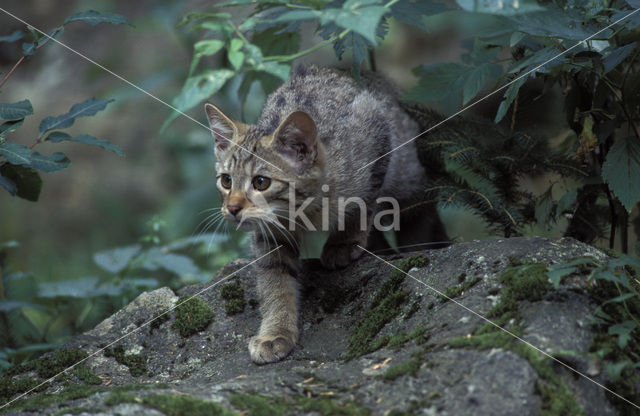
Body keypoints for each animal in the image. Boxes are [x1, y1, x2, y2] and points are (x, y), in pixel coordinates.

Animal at [204, 65, 444, 364]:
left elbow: (362, 204)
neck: (304, 211)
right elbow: (275, 281)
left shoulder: (376, 134)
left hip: (409, 176)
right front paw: (276, 332)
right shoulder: (268, 233)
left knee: (420, 211)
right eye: (226, 181)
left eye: (261, 182)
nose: (233, 208)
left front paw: (343, 243)